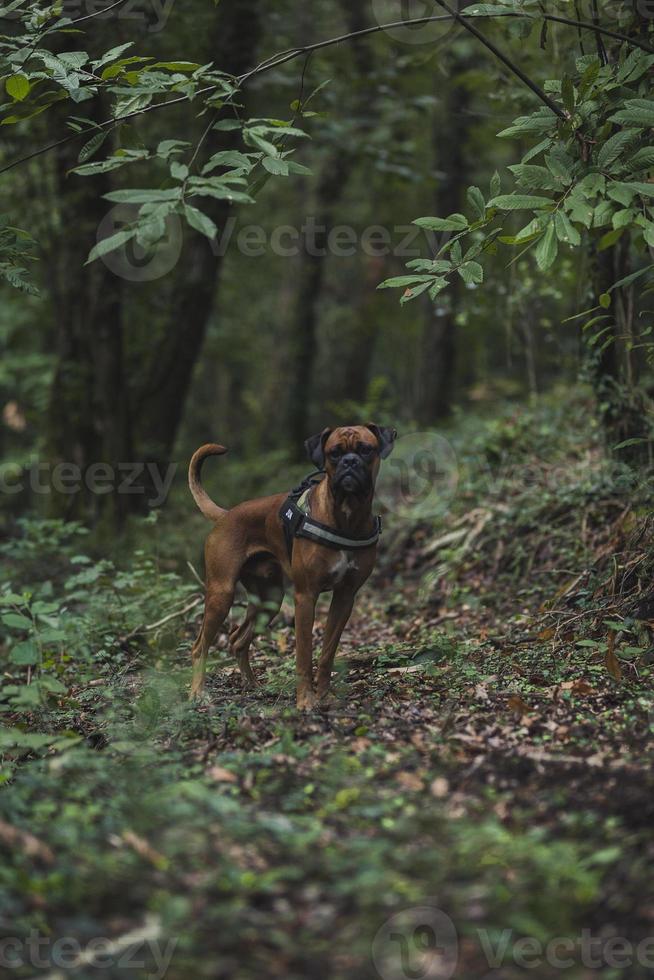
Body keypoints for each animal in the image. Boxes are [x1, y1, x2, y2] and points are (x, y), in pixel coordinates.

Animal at [187, 424, 398, 708]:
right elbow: (304, 655)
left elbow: (327, 652)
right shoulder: (306, 597)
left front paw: (324, 694)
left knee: (237, 640)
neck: (346, 515)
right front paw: (306, 700)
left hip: (270, 599)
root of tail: (226, 514)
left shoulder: (345, 597)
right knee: (199, 646)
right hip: (222, 594)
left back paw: (253, 685)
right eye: (334, 453)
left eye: (366, 449)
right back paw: (197, 692)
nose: (349, 462)